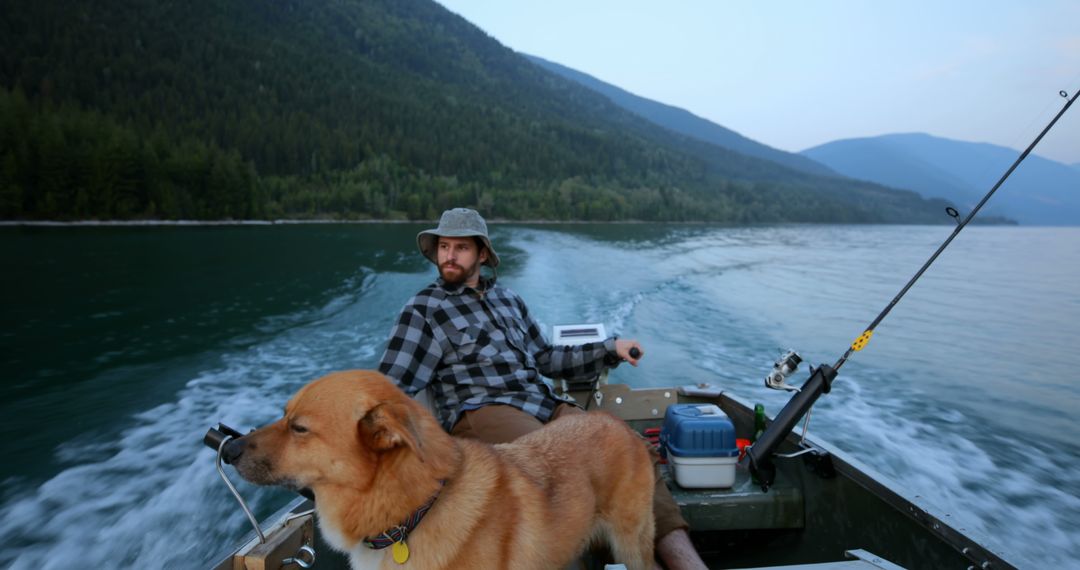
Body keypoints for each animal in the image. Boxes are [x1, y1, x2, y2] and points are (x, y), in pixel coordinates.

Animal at [223, 371, 652, 565]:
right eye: (283, 415)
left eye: (298, 428)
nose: (229, 449)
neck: (414, 513)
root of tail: (614, 421)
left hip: (632, 544)